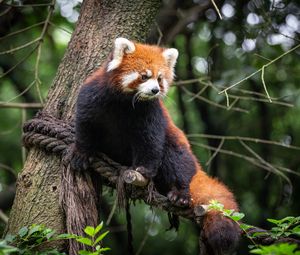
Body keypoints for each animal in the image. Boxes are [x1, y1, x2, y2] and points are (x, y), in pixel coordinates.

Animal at [72, 36, 241, 254]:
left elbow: (150, 142)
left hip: (179, 148)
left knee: (177, 159)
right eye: (144, 76)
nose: (155, 90)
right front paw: (81, 153)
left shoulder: (150, 113)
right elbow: (85, 125)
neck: (124, 102)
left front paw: (144, 170)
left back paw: (180, 194)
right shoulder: (92, 97)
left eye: (160, 78)